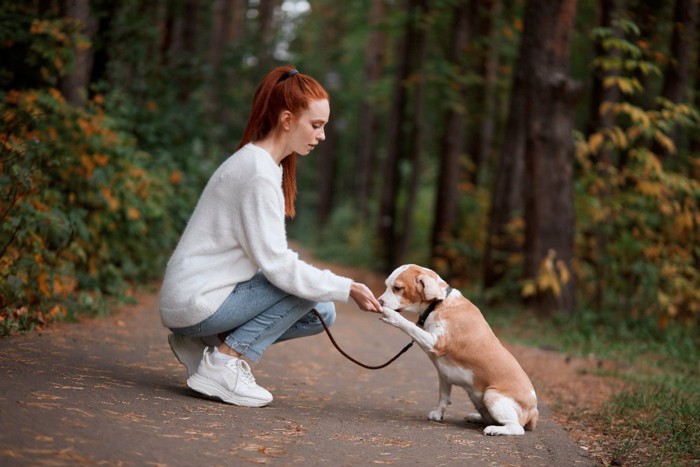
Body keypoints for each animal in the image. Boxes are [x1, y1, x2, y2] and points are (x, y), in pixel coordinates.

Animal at [380, 266, 540, 436]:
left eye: (398, 288)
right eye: (387, 285)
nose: (379, 301)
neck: (439, 303)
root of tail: (534, 411)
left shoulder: (434, 343)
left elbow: (409, 325)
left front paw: (391, 316)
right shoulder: (444, 375)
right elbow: (443, 397)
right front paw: (438, 414)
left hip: (491, 395)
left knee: (516, 428)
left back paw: (495, 429)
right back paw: (476, 417)